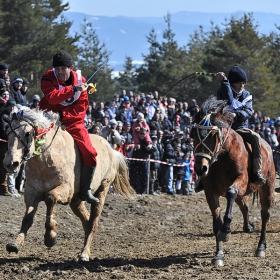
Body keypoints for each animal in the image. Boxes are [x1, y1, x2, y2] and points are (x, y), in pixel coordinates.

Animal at [3, 108, 135, 262]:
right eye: (7, 132)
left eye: (28, 133)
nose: (11, 163)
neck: (46, 159)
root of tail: (111, 149)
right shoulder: (31, 192)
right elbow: (27, 218)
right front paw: (15, 243)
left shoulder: (65, 190)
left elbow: (50, 198)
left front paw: (50, 237)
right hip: (76, 201)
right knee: (86, 221)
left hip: (102, 190)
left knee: (93, 222)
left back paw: (84, 253)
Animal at [191, 95, 274, 266]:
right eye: (194, 135)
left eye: (213, 135)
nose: (200, 169)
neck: (222, 157)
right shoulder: (210, 192)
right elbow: (216, 223)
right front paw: (219, 254)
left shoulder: (240, 180)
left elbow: (231, 192)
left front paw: (226, 230)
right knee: (245, 207)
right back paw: (248, 226)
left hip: (267, 188)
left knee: (265, 214)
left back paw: (261, 247)